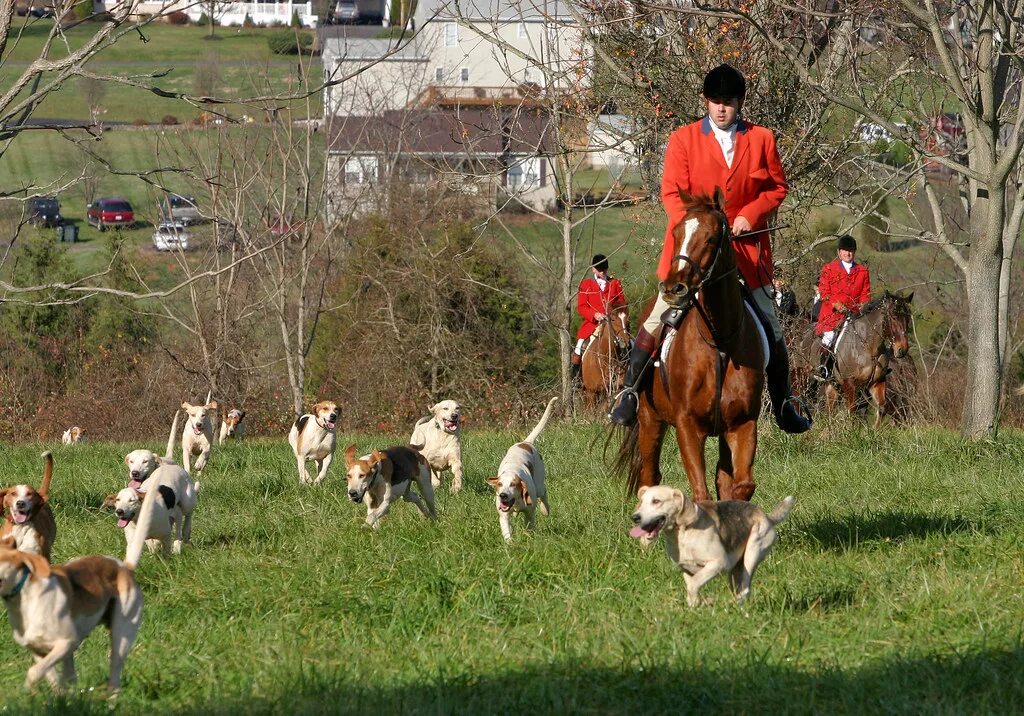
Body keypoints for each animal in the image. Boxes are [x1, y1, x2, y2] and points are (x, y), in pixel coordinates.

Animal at [0, 489, 152, 692]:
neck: (25, 597)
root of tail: (124, 567)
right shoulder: (39, 651)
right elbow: (52, 678)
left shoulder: (67, 643)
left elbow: (33, 672)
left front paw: (29, 692)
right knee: (72, 676)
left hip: (121, 634)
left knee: (115, 675)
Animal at [483, 397, 557, 544]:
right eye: (499, 484)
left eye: (513, 484)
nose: (503, 495)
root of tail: (525, 443)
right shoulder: (504, 515)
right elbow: (506, 531)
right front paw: (510, 544)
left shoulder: (529, 512)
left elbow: (529, 525)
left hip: (539, 485)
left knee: (544, 494)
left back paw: (545, 510)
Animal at [610, 190, 765, 503]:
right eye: (676, 233)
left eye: (711, 238)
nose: (673, 288)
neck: (719, 340)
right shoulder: (687, 426)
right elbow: (701, 495)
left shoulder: (743, 424)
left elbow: (741, 487)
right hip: (650, 421)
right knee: (649, 476)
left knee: (723, 478)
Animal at [626, 485, 794, 606]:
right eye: (641, 502)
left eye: (656, 501)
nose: (635, 517)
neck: (683, 535)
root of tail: (766, 516)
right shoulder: (686, 569)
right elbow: (691, 585)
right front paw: (695, 605)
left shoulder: (718, 564)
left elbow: (693, 584)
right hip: (736, 570)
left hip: (752, 553)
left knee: (745, 589)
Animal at [798, 290, 913, 426]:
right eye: (894, 317)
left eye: (908, 318)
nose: (902, 349)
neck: (868, 348)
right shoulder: (850, 384)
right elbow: (852, 412)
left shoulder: (876, 382)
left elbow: (882, 407)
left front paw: (874, 430)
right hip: (807, 379)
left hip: (832, 385)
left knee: (829, 410)